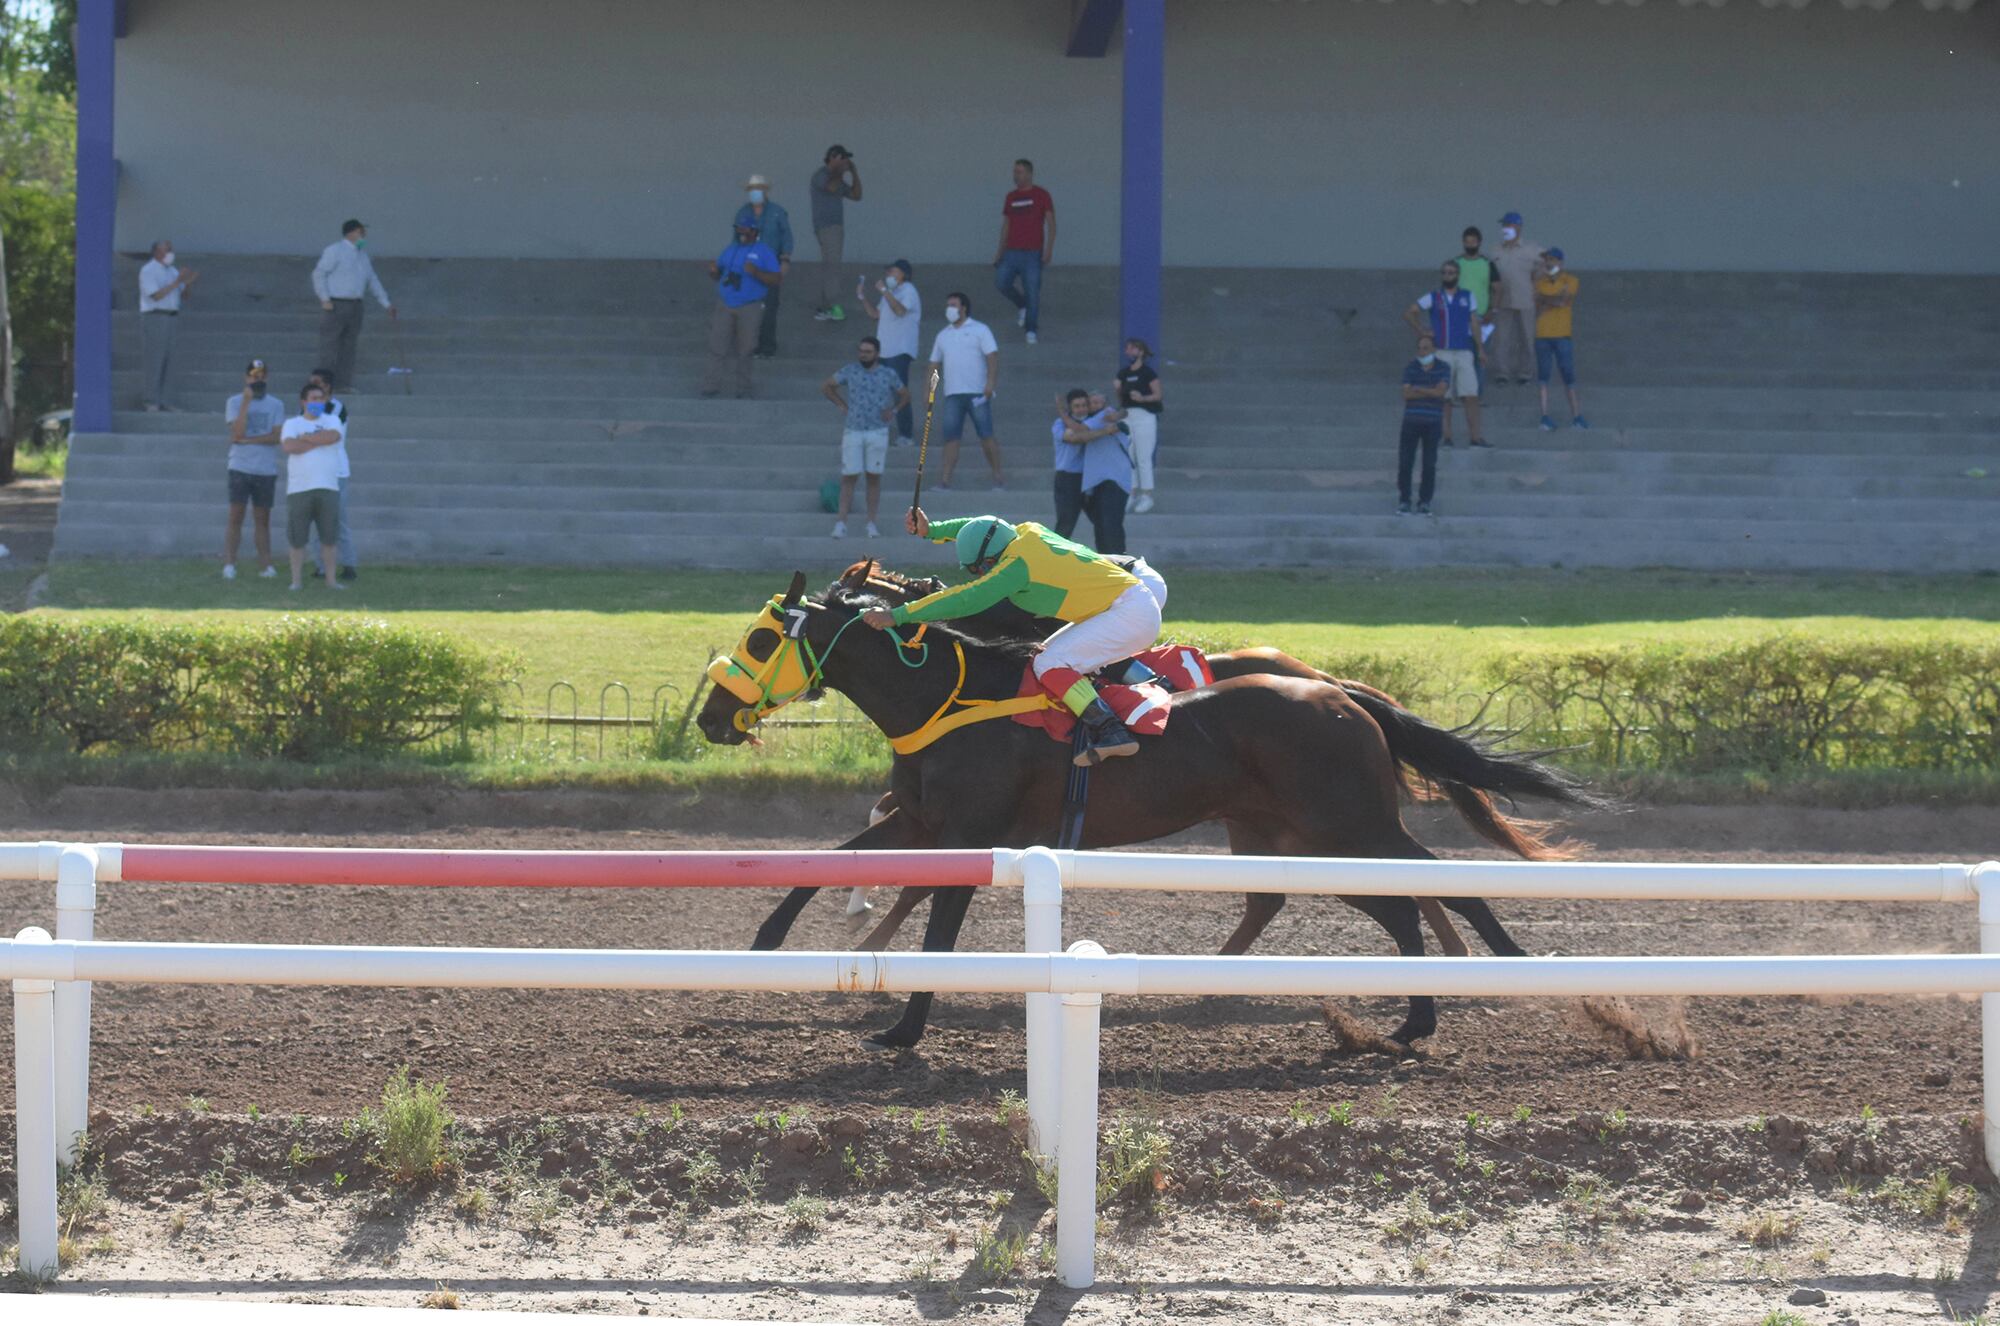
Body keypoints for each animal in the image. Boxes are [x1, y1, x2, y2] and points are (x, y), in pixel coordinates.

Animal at [696, 572, 1600, 1056]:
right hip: (1296, 830)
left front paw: (904, 1029)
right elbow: (834, 858)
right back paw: (1406, 1016)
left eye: (760, 640)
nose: (710, 717)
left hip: (1347, 822)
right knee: (1377, 904)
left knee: (1435, 886)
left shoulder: (970, 834)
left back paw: (1519, 984)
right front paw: (765, 946)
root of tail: (1340, 692)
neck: (948, 698)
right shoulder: (918, 821)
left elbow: (939, 929)